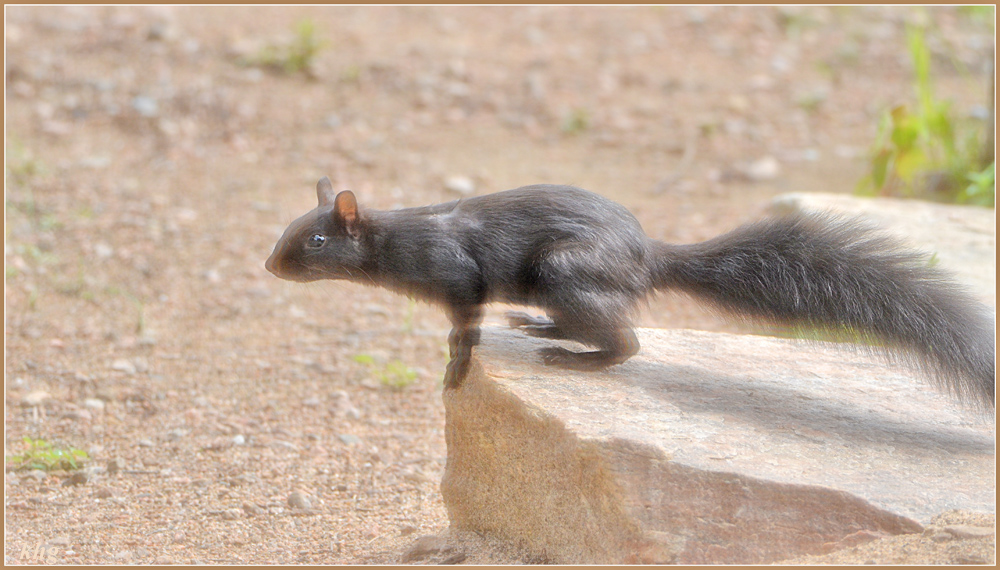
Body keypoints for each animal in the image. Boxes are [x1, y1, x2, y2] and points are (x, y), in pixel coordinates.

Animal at [265, 178, 996, 413]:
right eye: (290, 227)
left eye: (317, 241)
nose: (271, 265)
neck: (398, 237)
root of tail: (646, 258)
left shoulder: (457, 276)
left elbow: (464, 327)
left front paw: (455, 368)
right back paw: (547, 331)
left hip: (566, 272)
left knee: (628, 341)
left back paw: (576, 358)